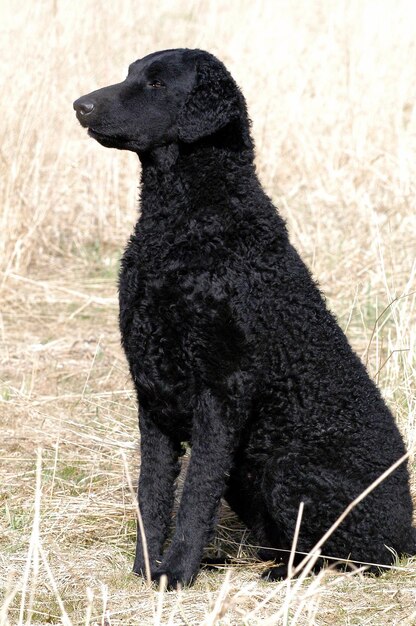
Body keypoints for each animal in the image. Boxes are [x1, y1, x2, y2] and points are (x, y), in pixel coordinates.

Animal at [74, 47, 412, 584]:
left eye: (156, 84)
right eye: (129, 74)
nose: (79, 105)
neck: (182, 225)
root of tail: (410, 533)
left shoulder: (222, 390)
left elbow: (195, 496)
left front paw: (175, 574)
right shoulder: (152, 389)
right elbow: (153, 494)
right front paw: (145, 570)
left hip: (288, 469)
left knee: (342, 556)